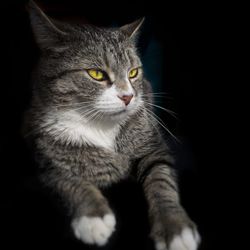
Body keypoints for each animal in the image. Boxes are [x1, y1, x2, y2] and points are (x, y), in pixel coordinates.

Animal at [26, 1, 200, 250]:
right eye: (96, 74)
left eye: (133, 72)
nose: (128, 96)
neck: (100, 124)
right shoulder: (41, 160)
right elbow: (65, 179)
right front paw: (93, 217)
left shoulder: (153, 147)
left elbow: (161, 180)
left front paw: (174, 226)